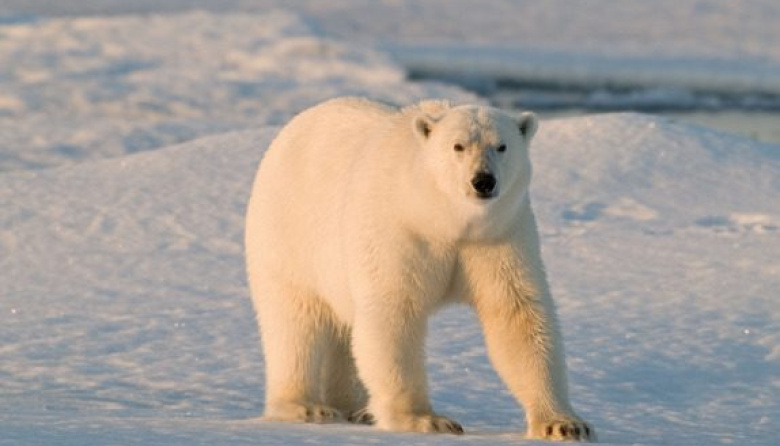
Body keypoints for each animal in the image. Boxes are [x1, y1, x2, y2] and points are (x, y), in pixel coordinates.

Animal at [244, 97, 595, 442]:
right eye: (458, 146)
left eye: (502, 146)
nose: (483, 181)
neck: (439, 215)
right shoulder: (398, 231)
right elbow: (394, 312)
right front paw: (426, 420)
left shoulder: (497, 236)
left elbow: (516, 314)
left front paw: (563, 424)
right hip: (288, 235)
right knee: (296, 322)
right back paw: (306, 407)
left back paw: (357, 409)